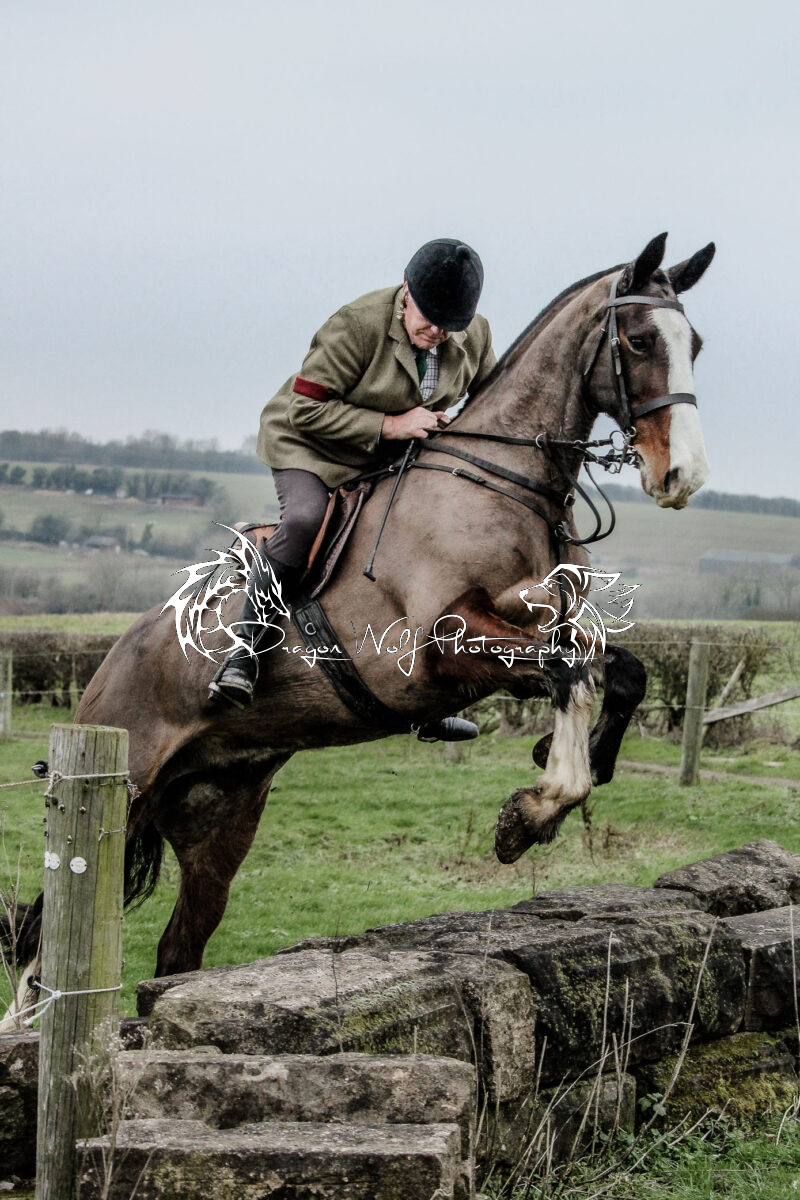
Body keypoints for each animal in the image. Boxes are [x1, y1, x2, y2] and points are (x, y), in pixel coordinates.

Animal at [2, 231, 714, 1012]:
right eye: (640, 339)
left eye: (695, 344)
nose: (683, 476)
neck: (508, 485)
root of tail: (106, 669)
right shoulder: (440, 646)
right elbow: (571, 673)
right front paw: (532, 812)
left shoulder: (532, 635)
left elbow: (616, 671)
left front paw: (575, 771)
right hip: (119, 789)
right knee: (40, 948)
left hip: (219, 813)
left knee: (177, 950)